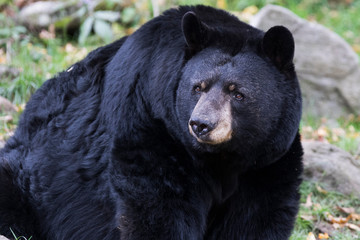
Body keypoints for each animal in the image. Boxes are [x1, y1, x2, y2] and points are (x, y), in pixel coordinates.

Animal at [0, 4, 302, 239]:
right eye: (198, 87)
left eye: (237, 93)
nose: (201, 124)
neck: (220, 159)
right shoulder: (150, 127)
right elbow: (158, 205)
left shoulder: (268, 158)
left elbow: (257, 215)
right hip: (30, 179)